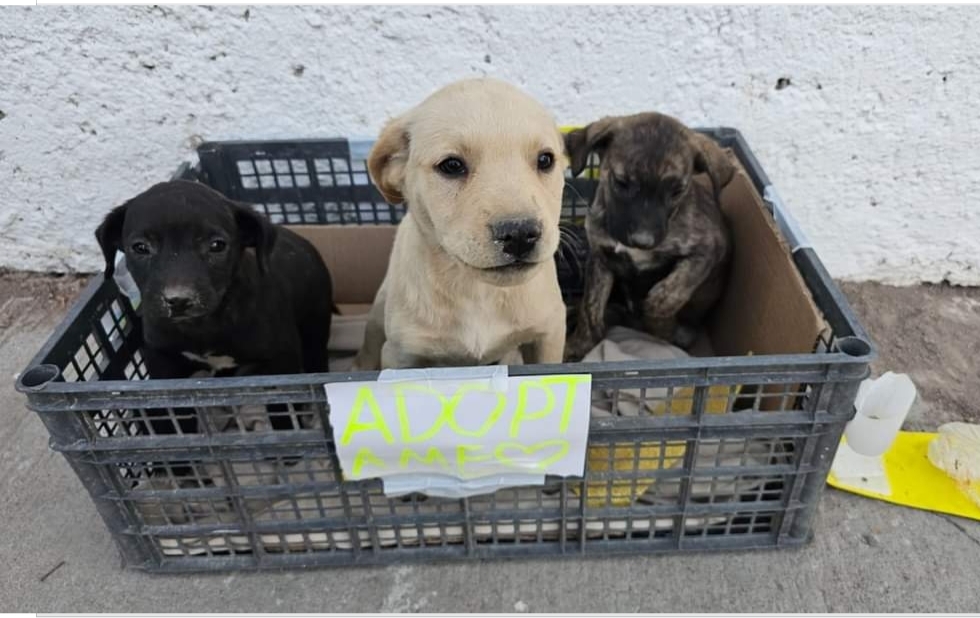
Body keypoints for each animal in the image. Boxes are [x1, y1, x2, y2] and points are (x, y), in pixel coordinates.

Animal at [96, 178, 334, 426]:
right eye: (140, 247)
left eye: (217, 245)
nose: (179, 300)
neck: (203, 326)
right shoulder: (162, 361)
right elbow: (174, 414)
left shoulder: (282, 360)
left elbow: (285, 411)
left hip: (315, 325)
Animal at [560, 112, 736, 360]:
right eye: (621, 182)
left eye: (677, 191)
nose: (643, 241)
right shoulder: (600, 257)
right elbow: (591, 308)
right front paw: (579, 345)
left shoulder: (709, 248)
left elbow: (671, 292)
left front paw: (659, 322)